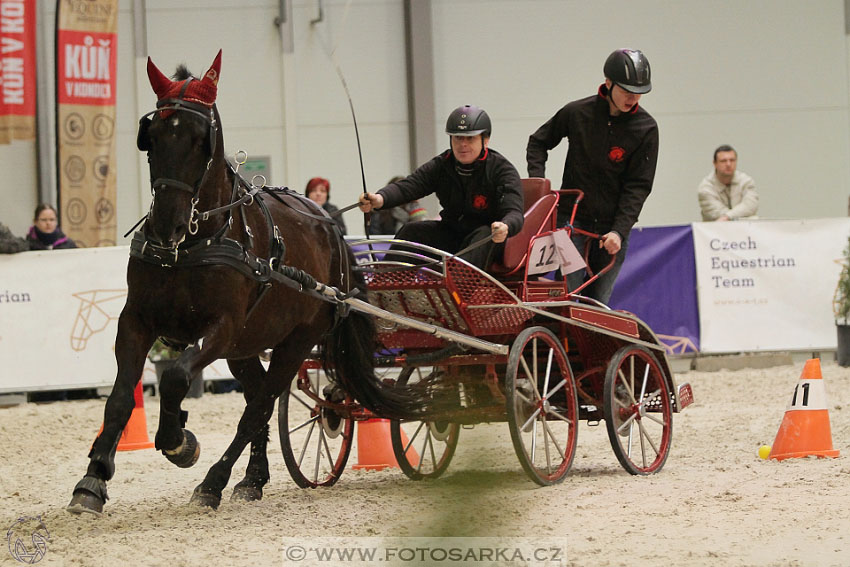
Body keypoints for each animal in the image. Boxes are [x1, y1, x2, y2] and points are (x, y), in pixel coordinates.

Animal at [68, 52, 424, 516]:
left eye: (200, 140)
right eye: (153, 137)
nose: (166, 224)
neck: (194, 242)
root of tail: (331, 229)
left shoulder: (221, 328)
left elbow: (175, 379)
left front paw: (179, 442)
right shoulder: (136, 321)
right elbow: (119, 399)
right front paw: (92, 481)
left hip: (294, 342)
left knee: (259, 406)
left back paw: (213, 482)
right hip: (247, 346)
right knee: (258, 401)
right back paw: (252, 479)